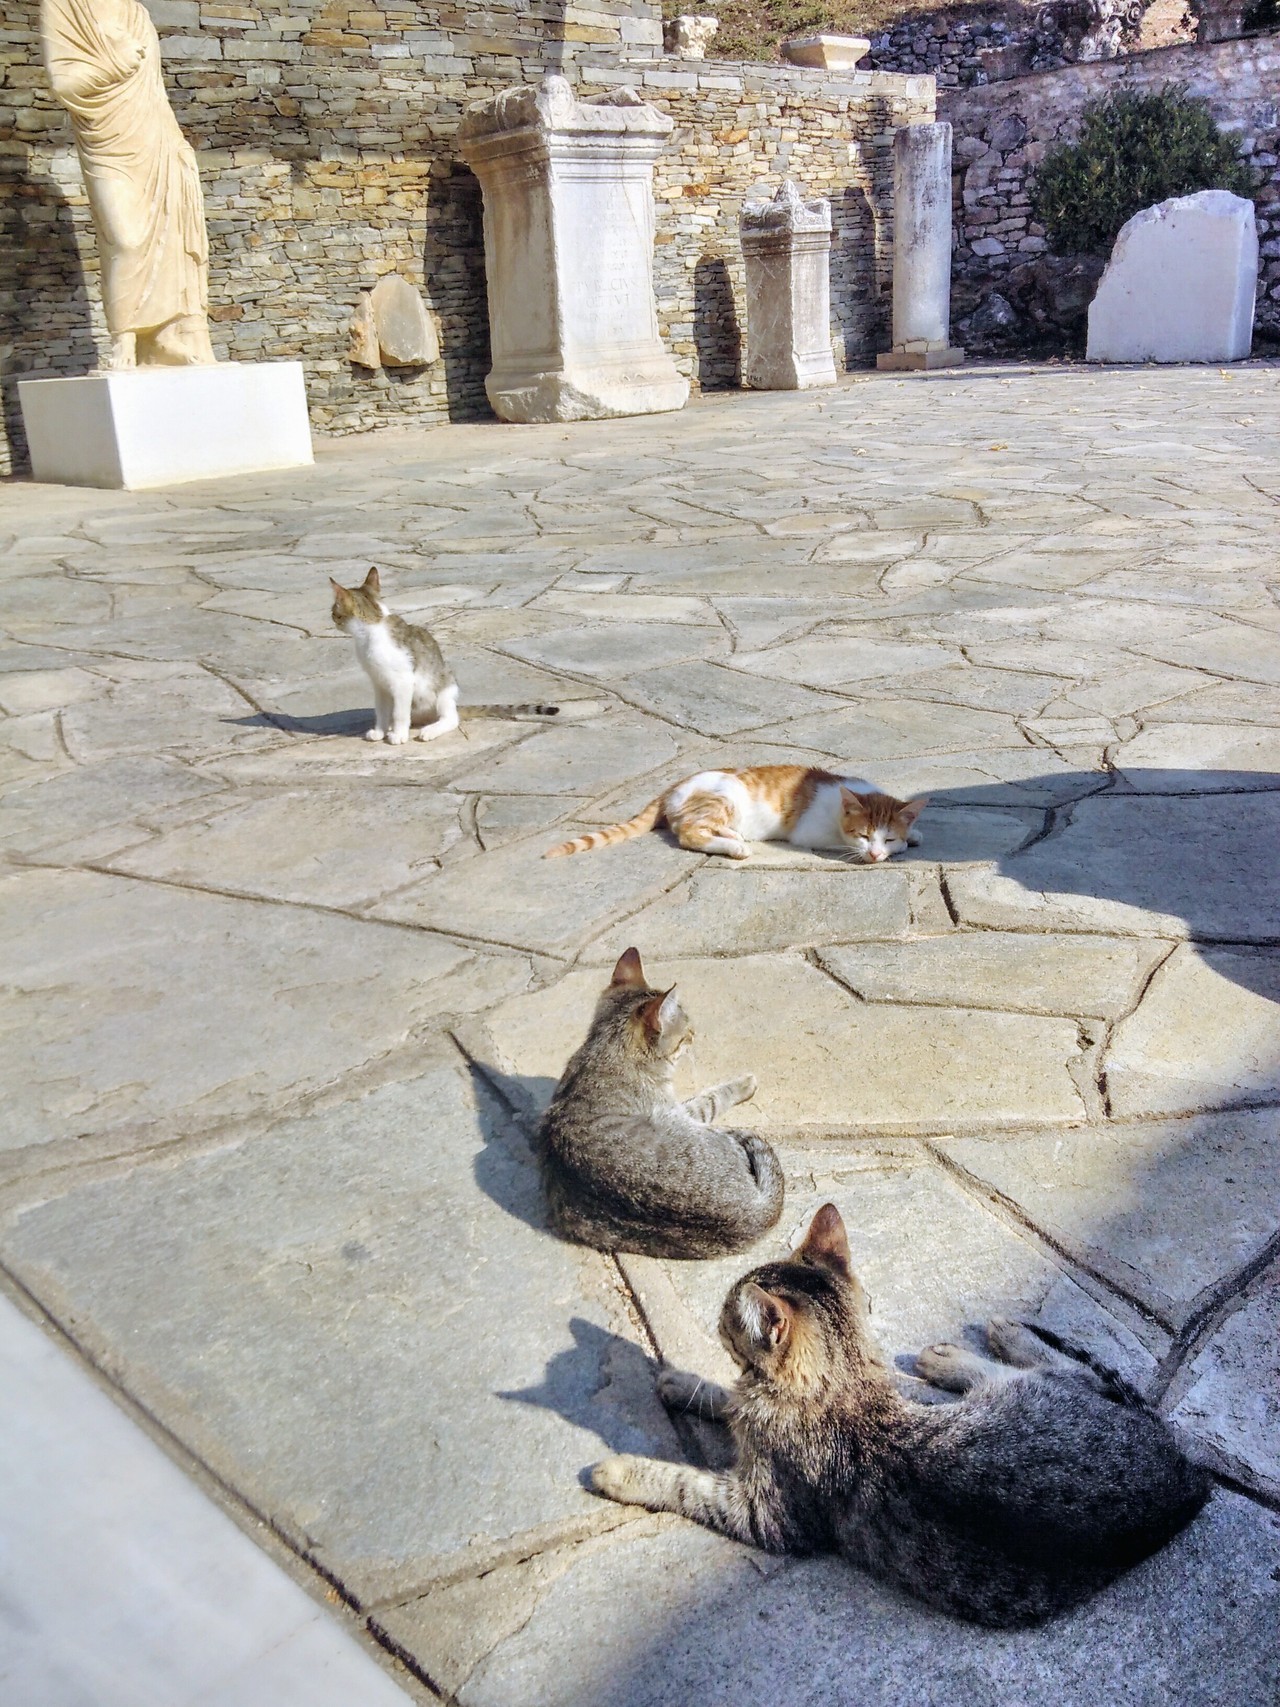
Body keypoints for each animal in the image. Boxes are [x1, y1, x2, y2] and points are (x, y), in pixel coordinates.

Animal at [327, 566, 559, 747]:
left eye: (334, 611)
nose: (332, 619)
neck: (372, 628)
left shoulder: (402, 681)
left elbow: (400, 712)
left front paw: (399, 735)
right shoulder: (379, 683)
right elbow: (382, 711)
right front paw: (380, 731)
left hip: (445, 686)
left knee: (451, 718)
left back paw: (429, 730)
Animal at [535, 955, 788, 1263]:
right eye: (686, 1031)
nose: (695, 1033)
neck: (604, 1054)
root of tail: (754, 1212)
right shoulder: (679, 1110)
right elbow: (710, 1100)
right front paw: (743, 1084)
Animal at [546, 764, 928, 860]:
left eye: (886, 837)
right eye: (864, 835)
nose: (876, 854)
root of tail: (675, 784)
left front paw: (913, 835)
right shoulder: (810, 833)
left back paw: (733, 835)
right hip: (724, 799)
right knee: (688, 833)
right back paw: (734, 847)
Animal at [590, 1201, 1215, 1625]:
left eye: (725, 1313)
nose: (718, 1316)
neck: (841, 1383)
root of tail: (1185, 1474)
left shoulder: (766, 1516)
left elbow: (684, 1483)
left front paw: (619, 1471)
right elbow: (727, 1396)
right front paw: (685, 1382)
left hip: (1028, 1394)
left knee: (1061, 1369)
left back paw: (979, 1345)